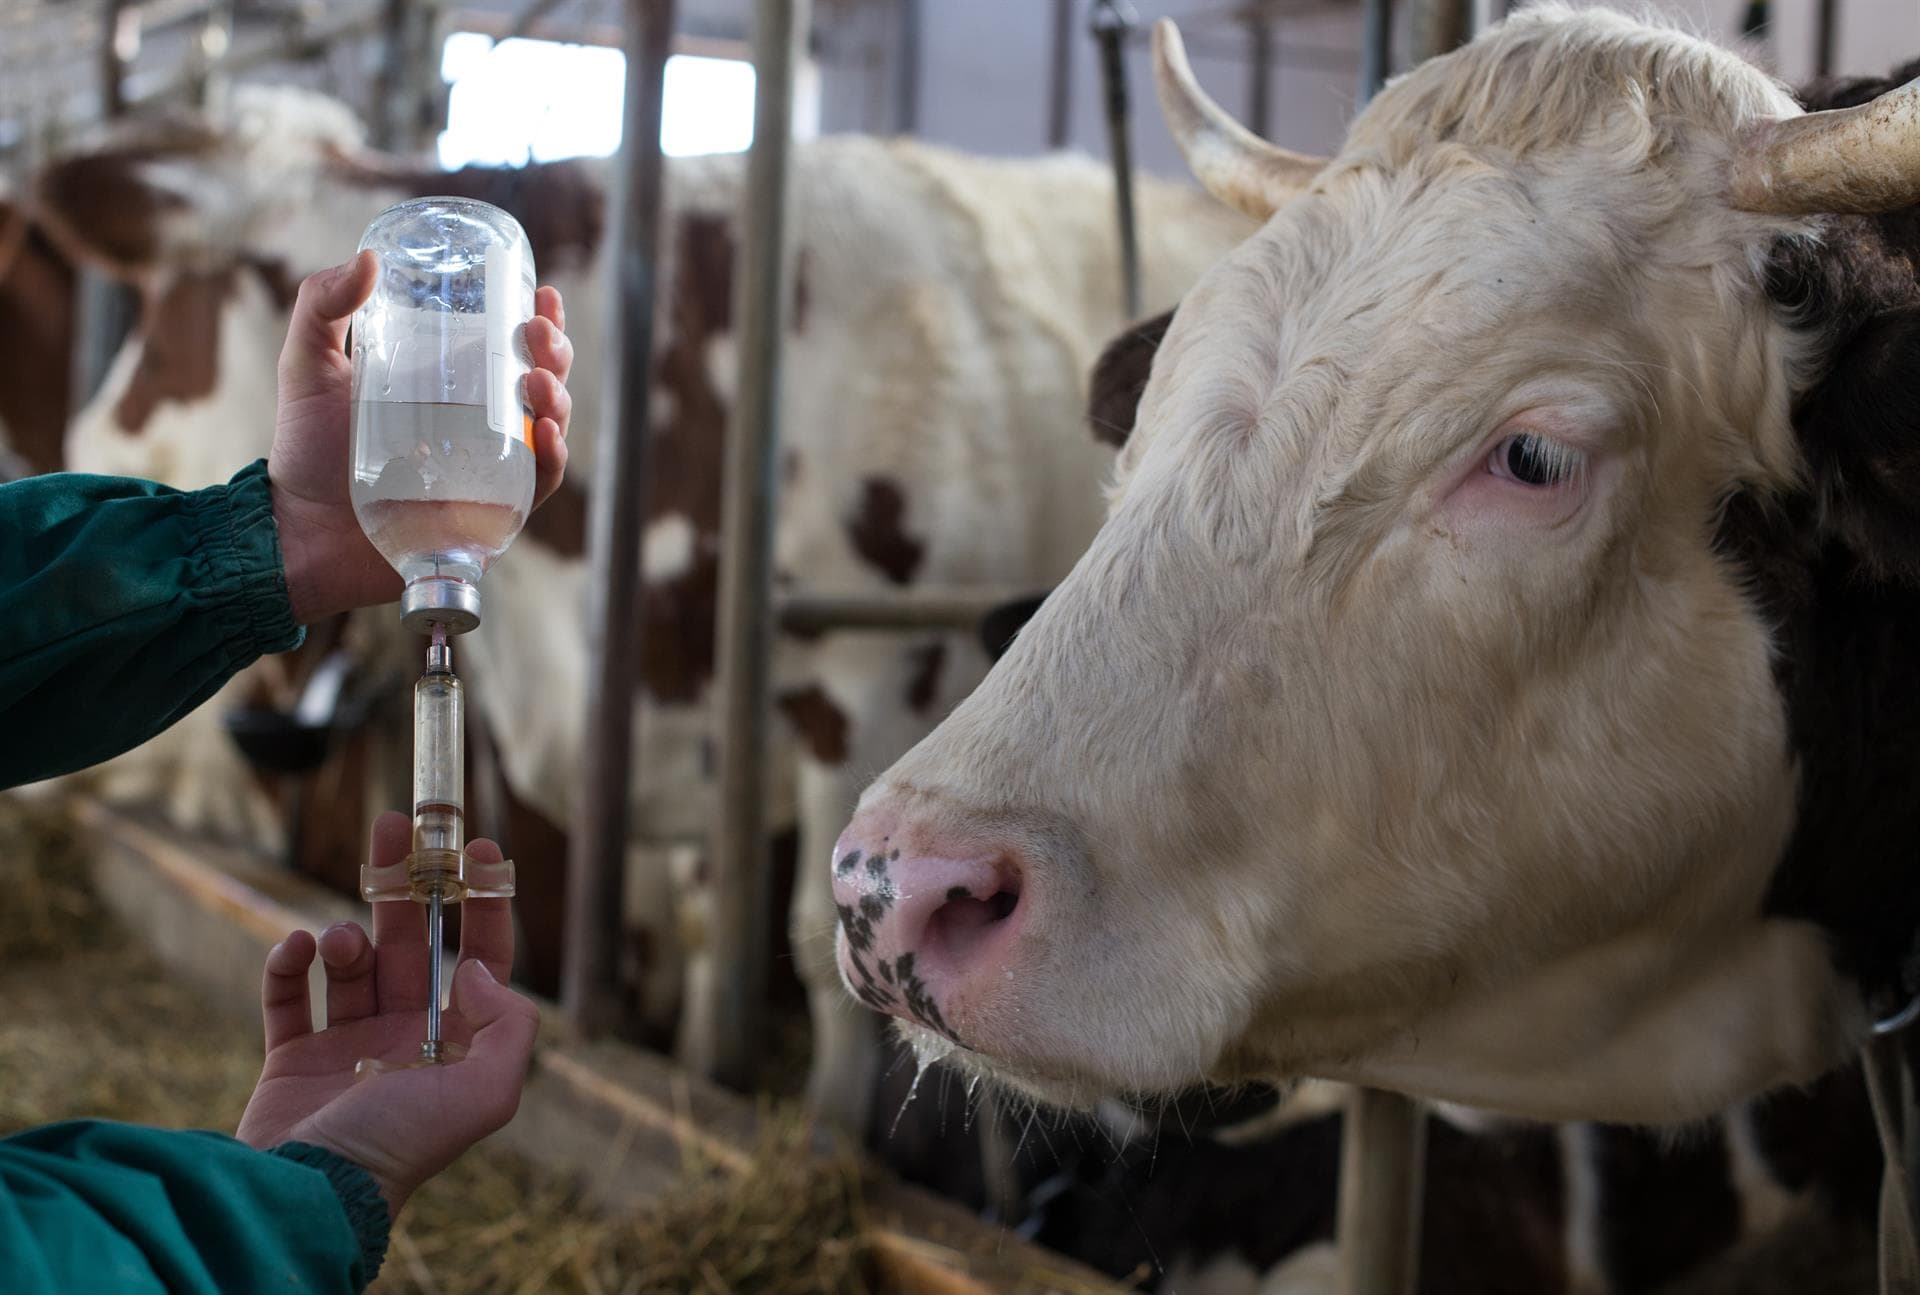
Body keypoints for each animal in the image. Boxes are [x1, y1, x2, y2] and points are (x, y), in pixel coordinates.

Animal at [22, 85, 1251, 1137]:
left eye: (153, 333)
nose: (84, 440)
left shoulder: (879, 690)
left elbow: (828, 961)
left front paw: (824, 1143)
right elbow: (714, 935)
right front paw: (705, 1066)